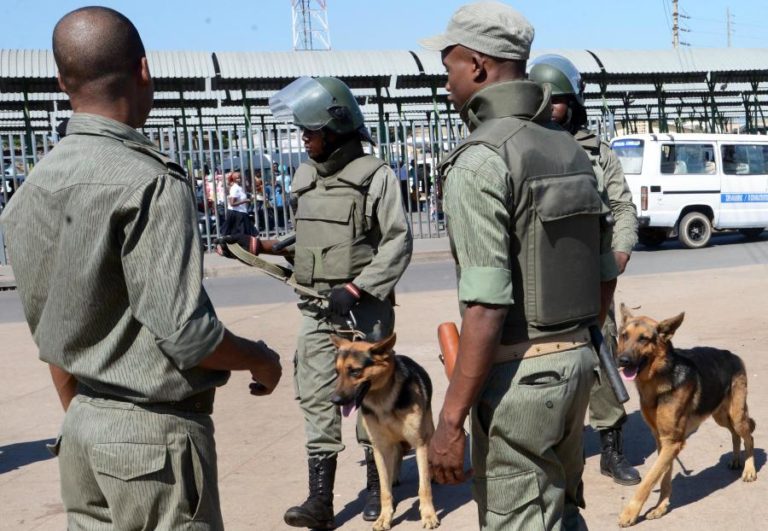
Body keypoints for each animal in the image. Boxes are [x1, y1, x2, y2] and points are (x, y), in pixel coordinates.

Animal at [328, 336, 438, 531]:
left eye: (355, 371)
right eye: (337, 372)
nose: (334, 400)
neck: (382, 400)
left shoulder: (419, 443)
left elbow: (423, 486)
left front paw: (428, 515)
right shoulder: (379, 447)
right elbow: (384, 489)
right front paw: (384, 517)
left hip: (427, 431)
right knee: (398, 454)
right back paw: (394, 476)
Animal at [616, 304, 752, 528]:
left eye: (644, 339)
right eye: (623, 336)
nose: (622, 360)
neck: (657, 381)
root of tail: (732, 355)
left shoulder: (672, 441)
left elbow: (649, 479)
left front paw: (630, 512)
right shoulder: (664, 441)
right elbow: (664, 475)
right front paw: (661, 506)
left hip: (737, 415)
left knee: (749, 437)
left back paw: (749, 469)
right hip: (720, 416)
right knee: (735, 434)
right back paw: (735, 459)